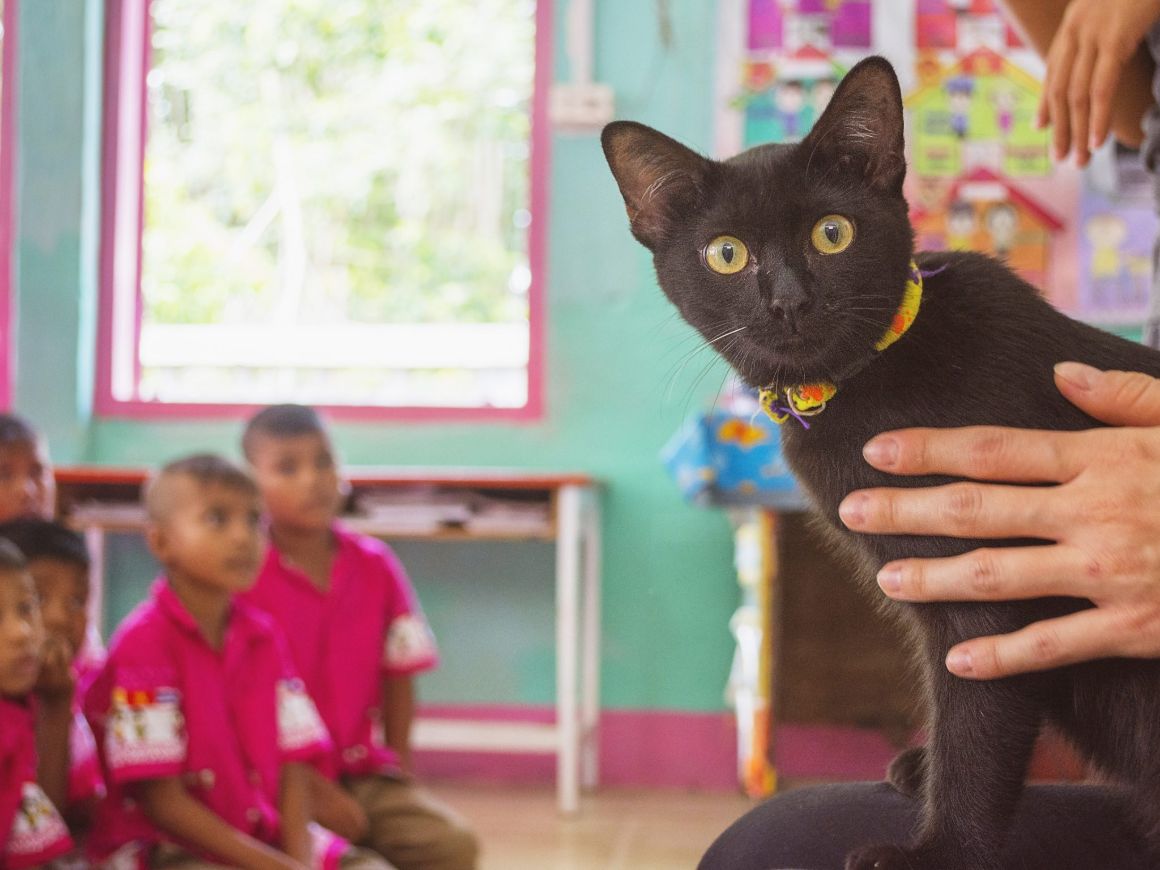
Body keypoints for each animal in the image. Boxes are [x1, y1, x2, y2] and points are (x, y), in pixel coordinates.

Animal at [603, 56, 1160, 870]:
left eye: (833, 234)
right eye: (727, 253)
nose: (789, 302)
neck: (859, 384)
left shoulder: (983, 590)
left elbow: (977, 721)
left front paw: (943, 852)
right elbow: (970, 709)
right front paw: (926, 777)